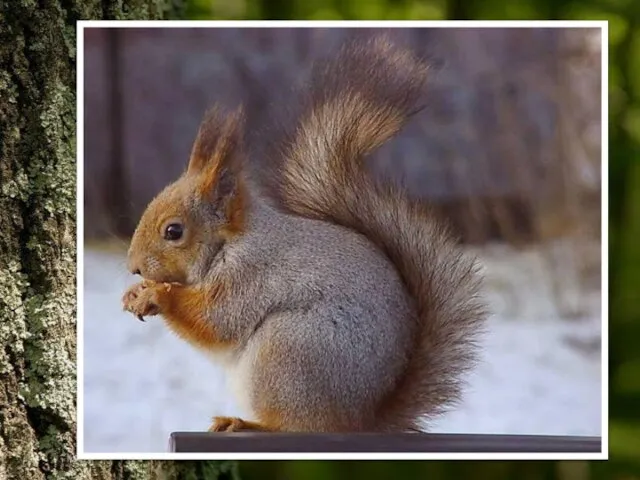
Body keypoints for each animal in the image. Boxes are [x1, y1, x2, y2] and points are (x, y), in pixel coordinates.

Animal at [122, 35, 488, 434]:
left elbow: (216, 321)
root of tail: (361, 420)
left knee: (297, 425)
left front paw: (157, 295)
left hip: (289, 350)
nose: (133, 267)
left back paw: (247, 423)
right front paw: (136, 292)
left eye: (174, 231)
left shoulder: (249, 276)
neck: (229, 244)